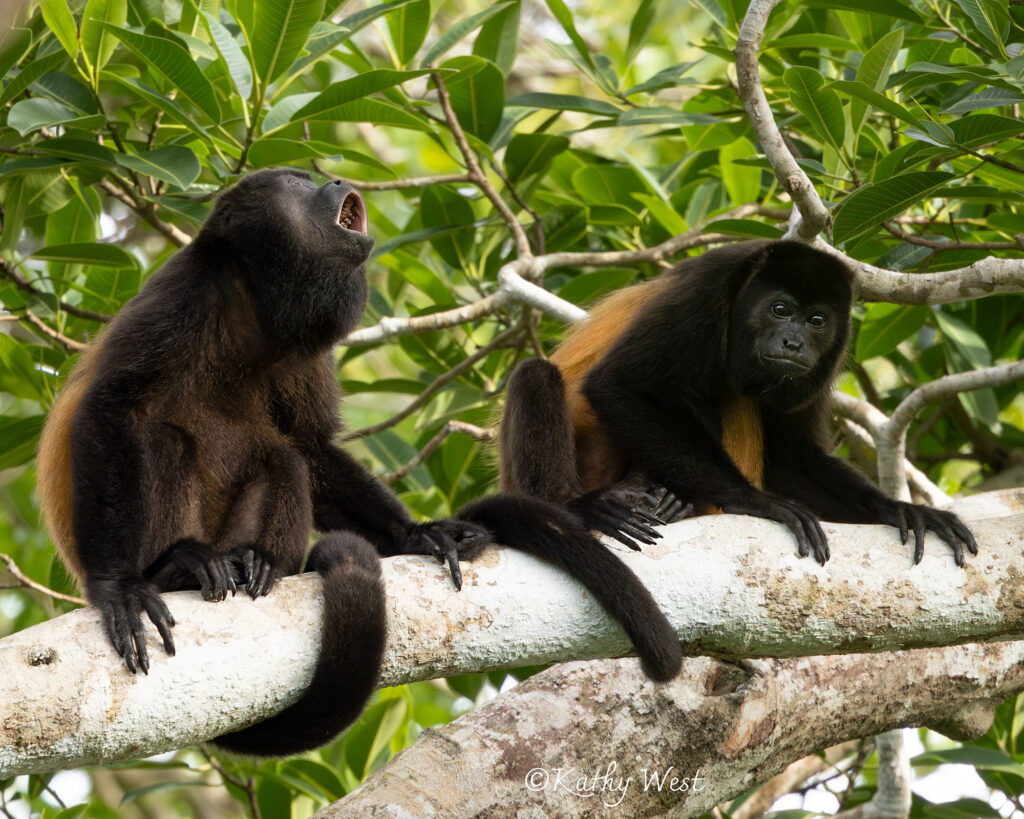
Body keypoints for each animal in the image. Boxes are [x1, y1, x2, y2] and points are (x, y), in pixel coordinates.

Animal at [36, 168, 489, 756]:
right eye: (297, 184)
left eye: (313, 176)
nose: (335, 177)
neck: (257, 308)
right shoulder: (183, 295)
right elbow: (111, 410)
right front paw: (118, 587)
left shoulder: (310, 352)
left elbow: (311, 446)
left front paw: (416, 533)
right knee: (161, 440)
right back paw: (175, 568)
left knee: (285, 459)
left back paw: (257, 559)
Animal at [495, 239, 978, 570]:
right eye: (780, 309)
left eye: (817, 320)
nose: (794, 342)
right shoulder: (705, 294)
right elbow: (620, 385)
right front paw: (757, 501)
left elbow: (791, 457)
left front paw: (901, 509)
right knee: (537, 375)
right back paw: (581, 506)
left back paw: (672, 502)